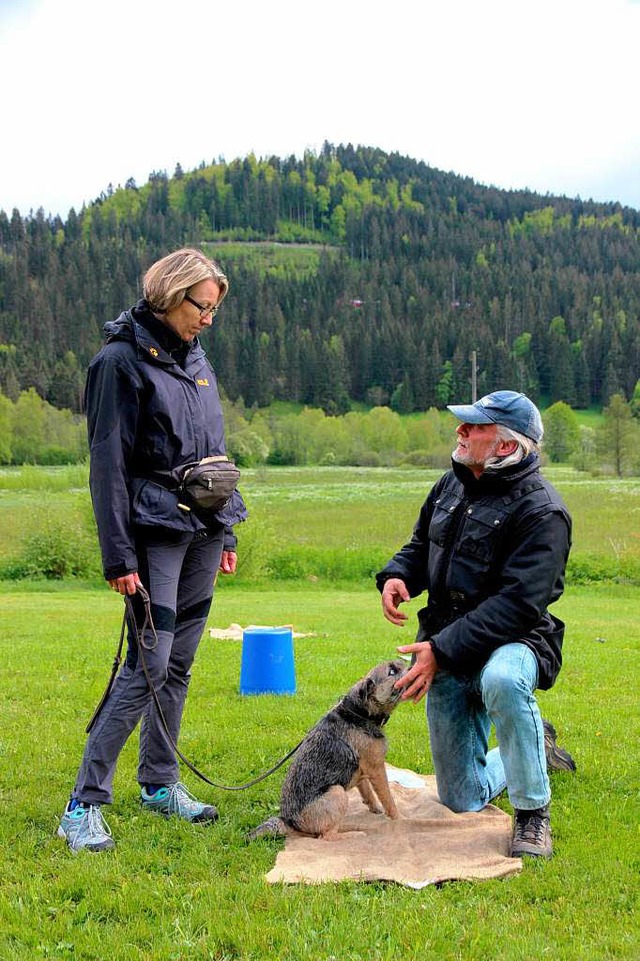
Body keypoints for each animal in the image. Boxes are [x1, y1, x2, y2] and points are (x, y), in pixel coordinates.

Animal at [248, 660, 408, 840]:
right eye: (392, 671)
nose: (409, 663)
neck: (360, 713)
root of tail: (287, 822)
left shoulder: (363, 772)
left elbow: (368, 792)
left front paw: (375, 809)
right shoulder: (377, 768)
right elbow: (388, 799)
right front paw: (399, 819)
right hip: (338, 792)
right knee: (327, 836)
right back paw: (354, 833)